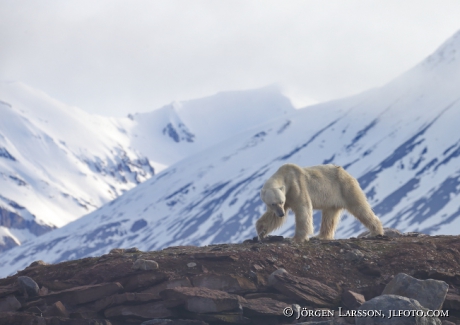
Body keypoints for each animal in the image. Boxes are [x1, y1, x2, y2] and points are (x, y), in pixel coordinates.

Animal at [255, 163, 384, 242]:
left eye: (281, 201)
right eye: (273, 203)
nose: (281, 214)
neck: (285, 175)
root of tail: (346, 172)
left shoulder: (296, 187)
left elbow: (303, 209)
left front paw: (297, 238)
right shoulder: (285, 197)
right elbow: (272, 216)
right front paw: (261, 232)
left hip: (345, 188)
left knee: (360, 208)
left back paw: (375, 232)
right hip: (332, 198)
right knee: (329, 216)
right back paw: (321, 236)